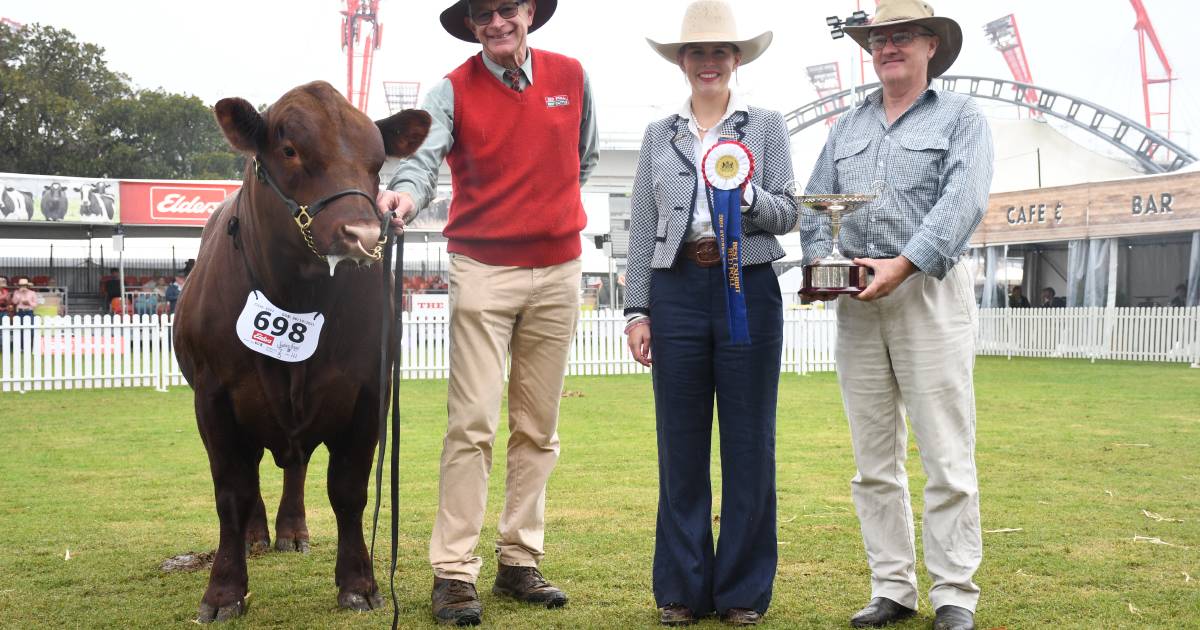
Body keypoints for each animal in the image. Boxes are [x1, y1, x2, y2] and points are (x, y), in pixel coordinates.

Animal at [174, 81, 427, 619]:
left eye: (378, 162)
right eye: (290, 150)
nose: (363, 235)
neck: (298, 294)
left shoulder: (369, 394)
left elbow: (349, 490)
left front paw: (359, 583)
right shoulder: (212, 397)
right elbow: (232, 493)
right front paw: (223, 592)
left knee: (296, 464)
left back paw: (292, 531)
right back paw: (256, 536)